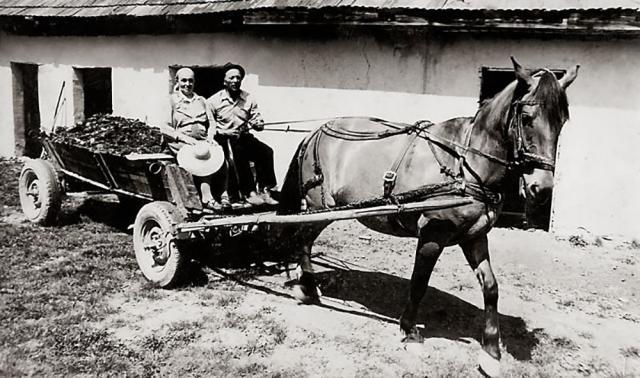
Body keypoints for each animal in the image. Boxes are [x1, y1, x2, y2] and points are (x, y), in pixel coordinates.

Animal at [276, 57, 580, 376]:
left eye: (561, 121)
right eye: (527, 118)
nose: (542, 188)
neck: (466, 165)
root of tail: (315, 132)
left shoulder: (475, 236)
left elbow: (491, 287)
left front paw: (491, 352)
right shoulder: (433, 234)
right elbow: (419, 282)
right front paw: (409, 330)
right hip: (319, 207)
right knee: (303, 240)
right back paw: (307, 288)